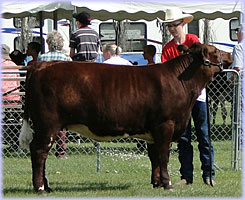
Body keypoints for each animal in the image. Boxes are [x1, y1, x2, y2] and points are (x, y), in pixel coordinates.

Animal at [19, 41, 234, 192]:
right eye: (215, 50)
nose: (230, 54)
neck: (180, 80)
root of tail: (40, 65)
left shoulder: (152, 130)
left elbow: (154, 157)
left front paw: (156, 183)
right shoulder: (165, 124)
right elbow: (163, 156)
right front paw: (168, 184)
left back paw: (46, 186)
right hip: (48, 124)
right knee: (39, 151)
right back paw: (40, 187)